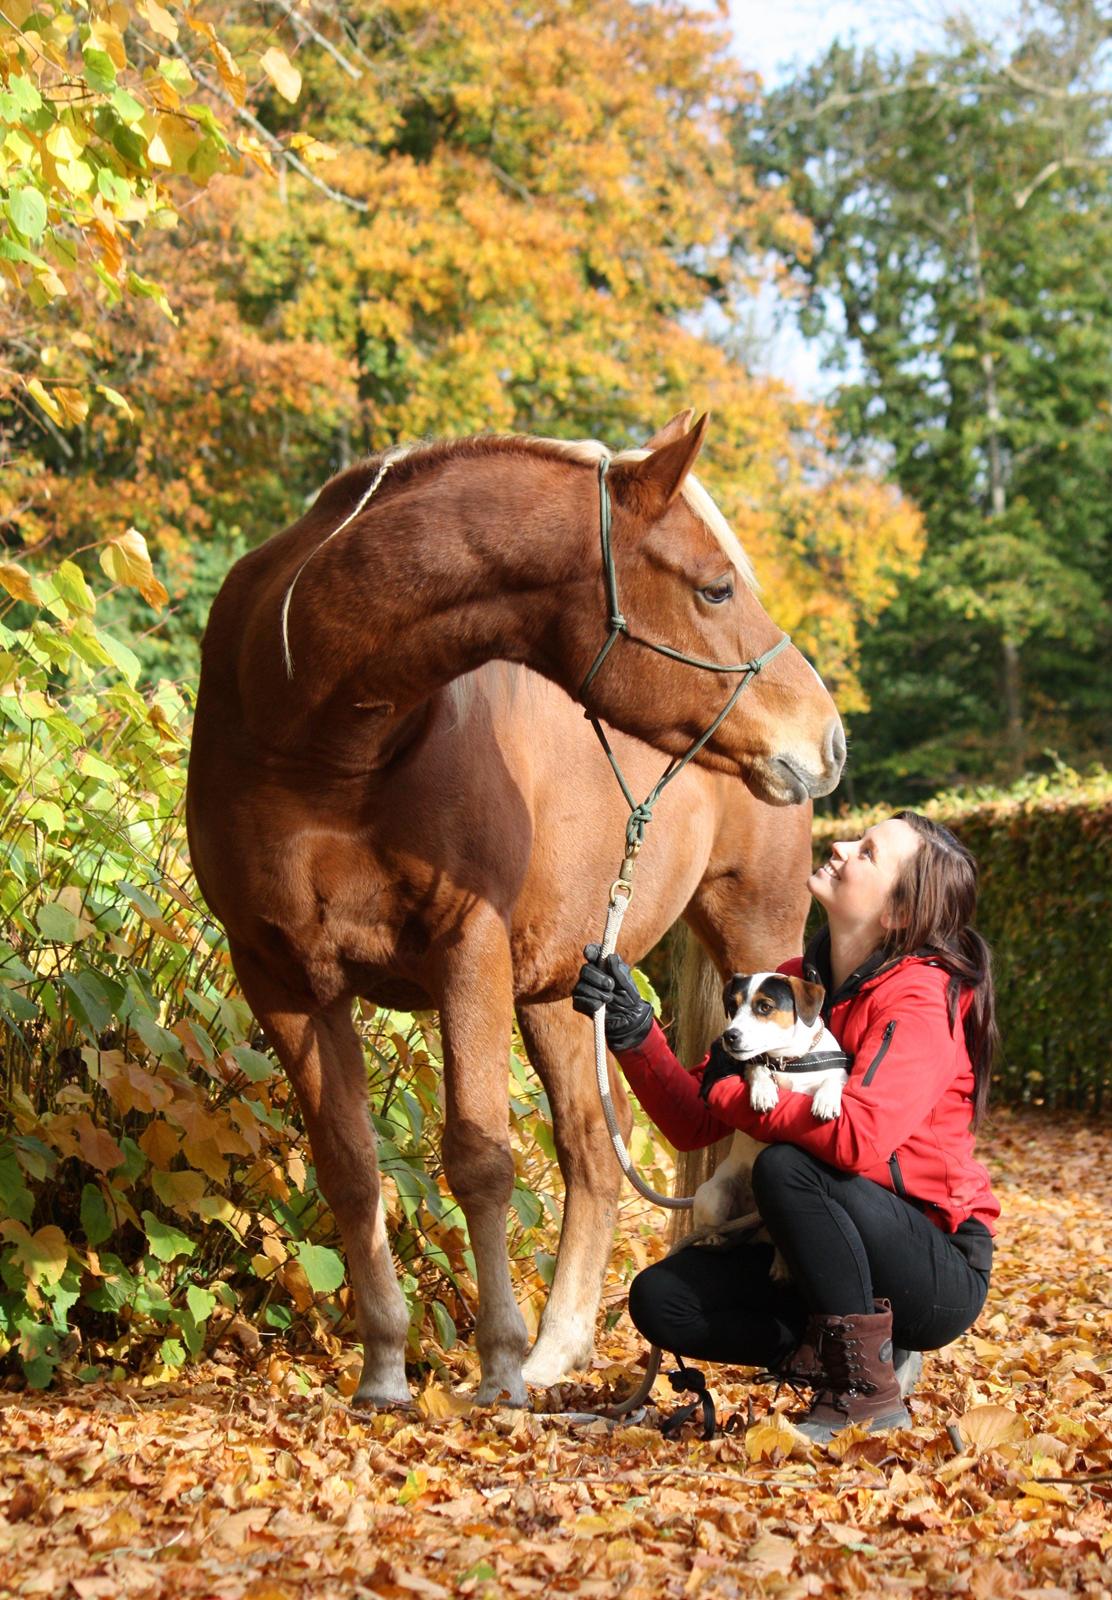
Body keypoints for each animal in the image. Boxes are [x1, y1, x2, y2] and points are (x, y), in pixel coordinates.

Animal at [688, 966, 851, 1267]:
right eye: (732, 1006)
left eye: (765, 1006)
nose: (729, 1035)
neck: (788, 1062)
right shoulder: (757, 1063)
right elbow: (757, 1067)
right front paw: (763, 1091)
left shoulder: (839, 1074)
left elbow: (832, 1080)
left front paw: (826, 1100)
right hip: (715, 1193)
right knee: (708, 1225)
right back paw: (713, 1238)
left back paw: (781, 1265)